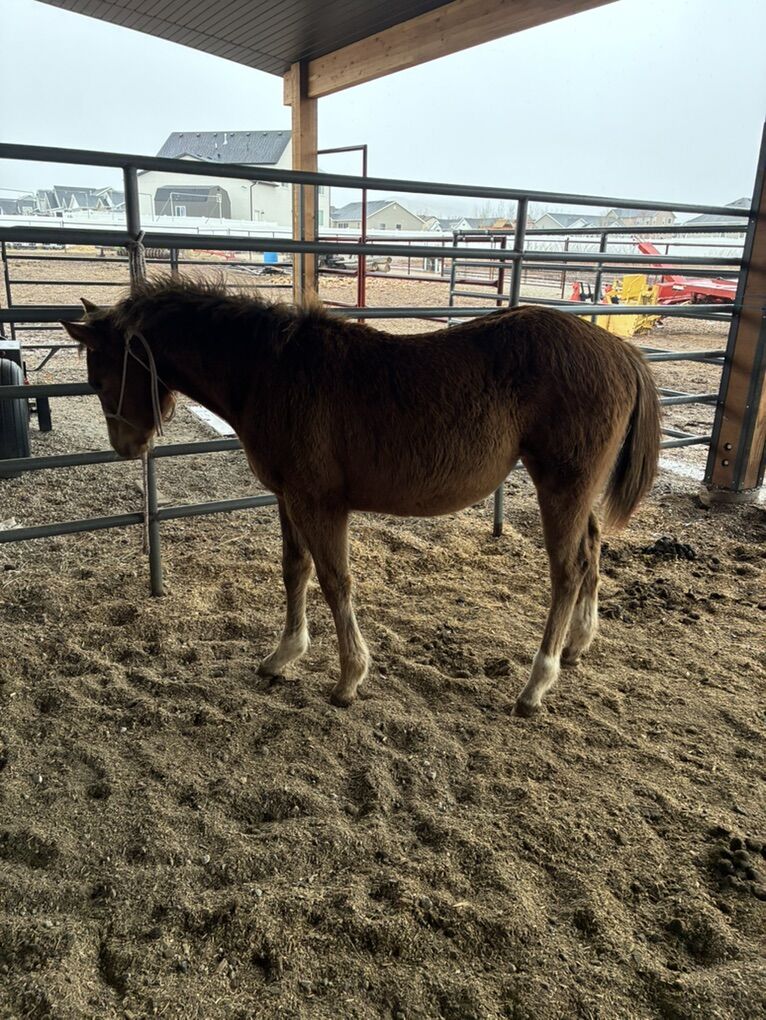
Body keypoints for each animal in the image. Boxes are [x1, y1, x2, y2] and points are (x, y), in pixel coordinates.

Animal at [63, 277, 660, 716]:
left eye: (98, 378)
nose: (126, 446)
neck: (269, 371)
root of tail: (620, 349)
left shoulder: (318, 501)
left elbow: (335, 580)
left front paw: (349, 678)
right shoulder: (288, 497)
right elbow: (295, 570)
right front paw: (282, 657)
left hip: (562, 484)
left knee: (568, 569)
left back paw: (536, 686)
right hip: (577, 492)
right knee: (592, 550)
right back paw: (578, 645)